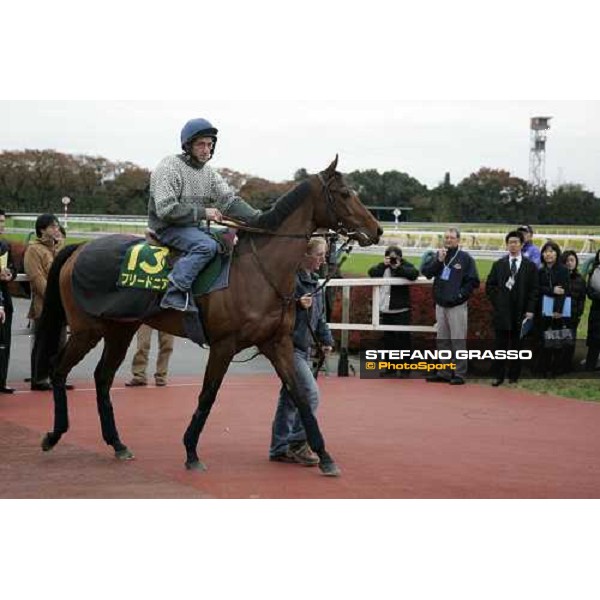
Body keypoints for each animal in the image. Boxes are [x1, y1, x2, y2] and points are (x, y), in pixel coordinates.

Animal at [37, 157, 382, 476]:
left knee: (102, 378)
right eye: (344, 193)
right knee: (58, 368)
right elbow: (208, 395)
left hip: (120, 329)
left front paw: (324, 456)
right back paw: (54, 435)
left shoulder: (277, 343)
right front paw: (191, 452)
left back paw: (118, 444)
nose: (377, 230)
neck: (259, 271)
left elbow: (299, 395)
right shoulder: (223, 345)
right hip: (87, 329)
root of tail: (80, 247)